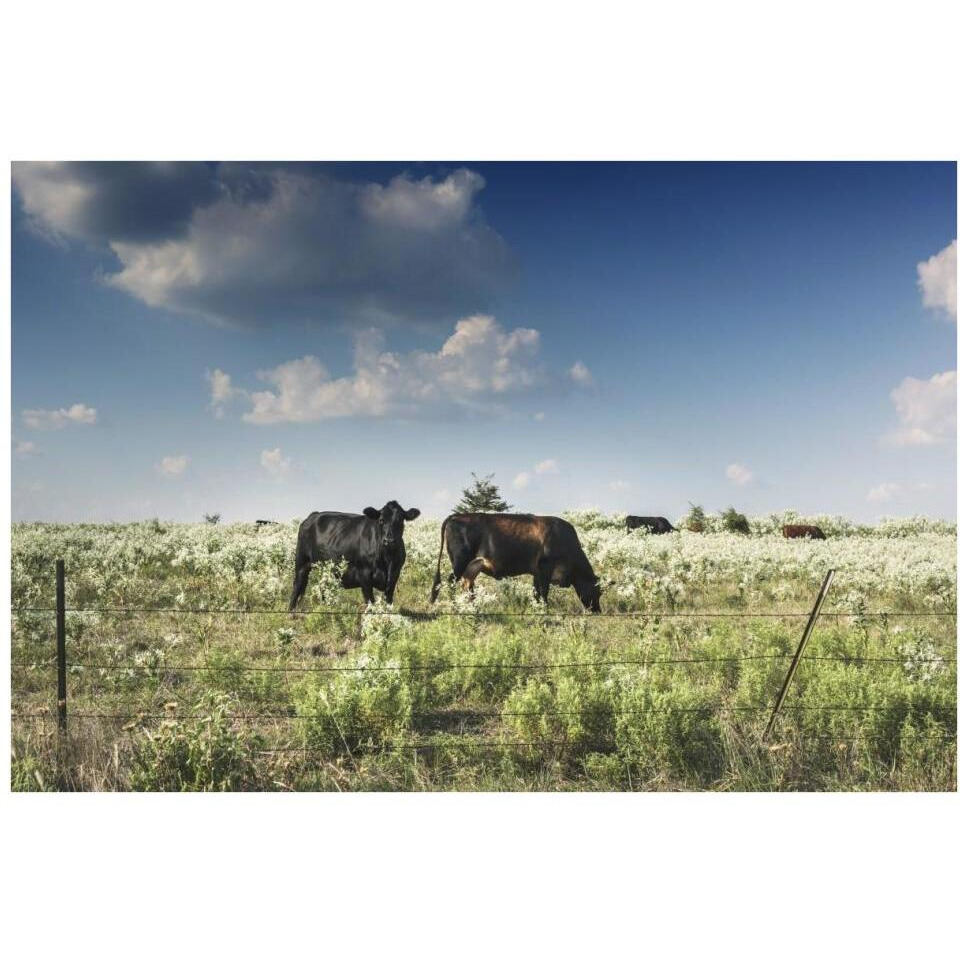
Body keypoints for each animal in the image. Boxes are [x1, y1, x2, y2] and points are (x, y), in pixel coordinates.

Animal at [286, 498, 418, 612]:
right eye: (381, 520)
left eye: (400, 521)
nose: (389, 541)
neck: (387, 560)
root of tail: (313, 515)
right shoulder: (364, 575)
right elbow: (371, 602)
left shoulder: (394, 576)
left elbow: (388, 602)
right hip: (302, 561)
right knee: (297, 585)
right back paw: (291, 612)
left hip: (324, 570)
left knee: (322, 588)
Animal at [430, 512, 600, 612]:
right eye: (598, 591)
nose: (598, 610)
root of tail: (458, 515)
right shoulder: (545, 568)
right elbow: (544, 592)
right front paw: (545, 609)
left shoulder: (536, 572)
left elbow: (536, 592)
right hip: (459, 562)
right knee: (450, 582)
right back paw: (456, 607)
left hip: (472, 566)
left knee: (468, 585)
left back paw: (472, 607)